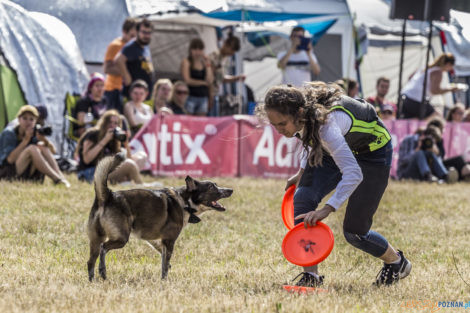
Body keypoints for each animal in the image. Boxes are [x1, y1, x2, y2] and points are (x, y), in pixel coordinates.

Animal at [86, 153, 233, 280]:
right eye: (212, 187)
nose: (231, 190)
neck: (184, 201)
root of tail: (107, 196)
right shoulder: (169, 241)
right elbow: (165, 266)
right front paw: (165, 280)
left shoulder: (159, 241)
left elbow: (163, 260)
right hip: (121, 238)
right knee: (103, 248)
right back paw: (102, 272)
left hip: (95, 240)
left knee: (90, 261)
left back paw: (93, 280)